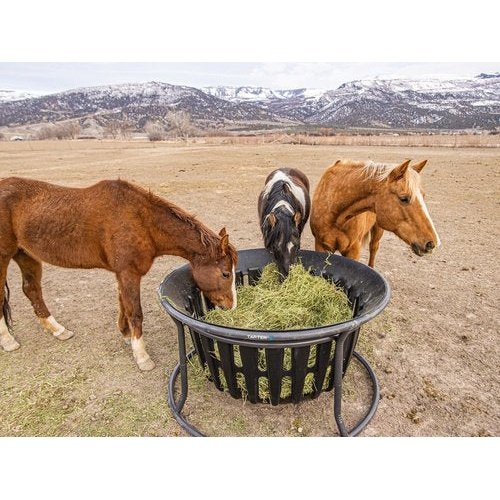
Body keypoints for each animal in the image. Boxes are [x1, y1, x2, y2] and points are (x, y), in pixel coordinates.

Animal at [0, 178, 238, 370]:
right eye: (226, 274)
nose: (231, 306)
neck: (142, 221)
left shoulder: (122, 274)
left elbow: (124, 304)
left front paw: (126, 335)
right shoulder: (128, 273)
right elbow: (135, 311)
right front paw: (141, 356)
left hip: (26, 255)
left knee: (32, 290)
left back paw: (57, 329)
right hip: (4, 257)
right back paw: (8, 341)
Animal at [310, 160, 440, 270]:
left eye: (423, 195)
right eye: (404, 198)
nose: (432, 243)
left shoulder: (353, 251)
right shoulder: (321, 246)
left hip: (378, 230)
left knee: (373, 248)